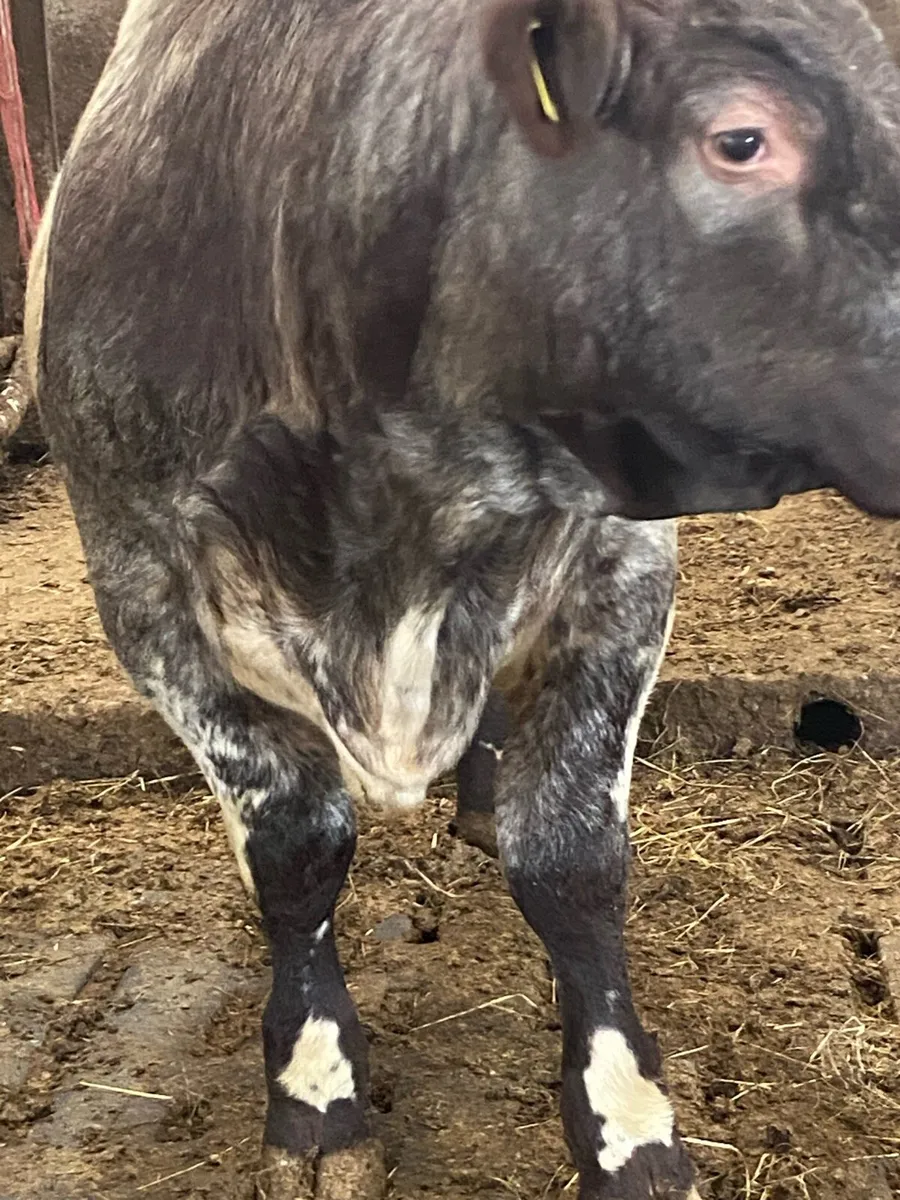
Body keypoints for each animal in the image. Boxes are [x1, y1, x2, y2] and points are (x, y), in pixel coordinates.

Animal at [24, 0, 900, 1196]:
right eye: (741, 139)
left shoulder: (620, 566)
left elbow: (573, 858)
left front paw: (627, 1124)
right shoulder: (145, 593)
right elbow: (296, 852)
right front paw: (316, 1097)